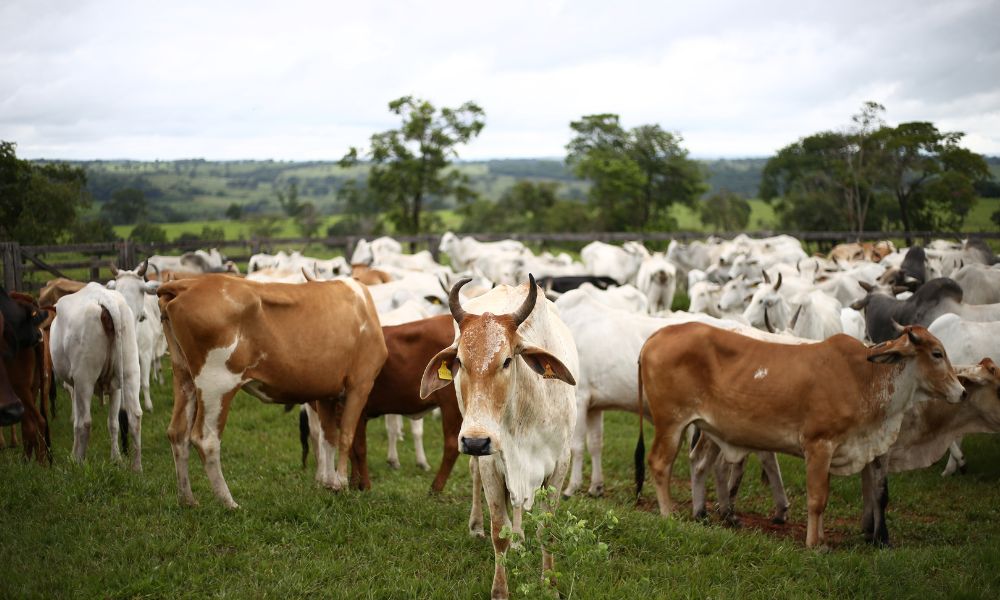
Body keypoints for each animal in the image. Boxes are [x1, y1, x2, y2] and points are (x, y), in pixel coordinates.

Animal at [159, 274, 386, 508]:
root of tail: (189, 283)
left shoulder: (326, 392)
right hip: (216, 384)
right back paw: (229, 503)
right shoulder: (361, 383)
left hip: (183, 376)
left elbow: (329, 437)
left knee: (178, 433)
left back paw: (187, 500)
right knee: (206, 440)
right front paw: (342, 484)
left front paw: (330, 484)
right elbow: (346, 436)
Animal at [636, 324, 964, 548]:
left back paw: (701, 513)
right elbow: (817, 499)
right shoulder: (819, 445)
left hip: (701, 427)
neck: (865, 379)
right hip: (671, 423)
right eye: (937, 354)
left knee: (696, 463)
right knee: (660, 464)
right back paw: (668, 513)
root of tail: (657, 335)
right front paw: (814, 544)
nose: (961, 391)